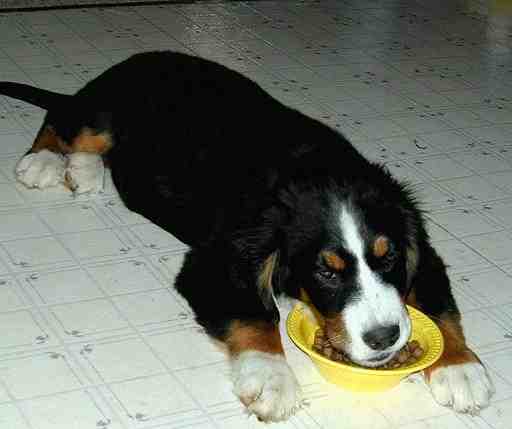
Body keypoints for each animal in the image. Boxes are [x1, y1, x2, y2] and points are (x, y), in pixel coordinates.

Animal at [0, 51, 494, 422]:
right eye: (327, 273)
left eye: (387, 259)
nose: (384, 338)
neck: (322, 171)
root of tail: (133, 59)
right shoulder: (218, 261)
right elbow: (256, 316)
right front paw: (272, 378)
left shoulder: (420, 248)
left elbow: (440, 306)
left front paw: (461, 368)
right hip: (102, 113)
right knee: (63, 120)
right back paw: (44, 162)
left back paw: (83, 172)